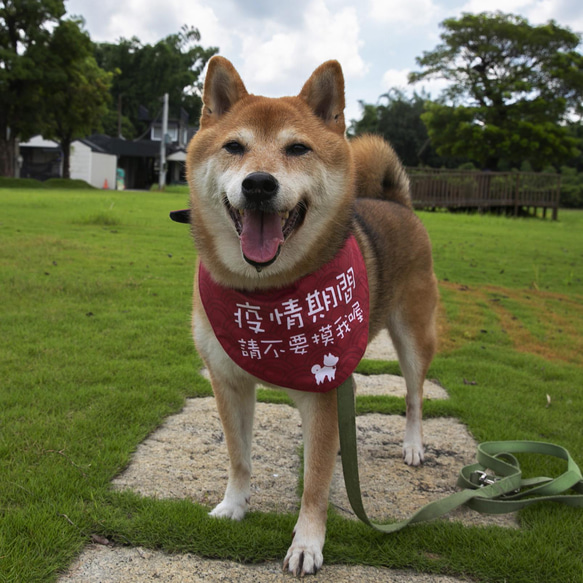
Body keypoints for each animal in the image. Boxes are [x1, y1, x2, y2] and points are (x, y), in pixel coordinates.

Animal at [184, 57, 438, 576]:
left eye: (297, 148)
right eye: (234, 146)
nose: (259, 183)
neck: (265, 294)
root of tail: (395, 202)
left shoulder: (325, 393)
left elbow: (316, 479)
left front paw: (307, 543)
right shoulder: (228, 381)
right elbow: (239, 456)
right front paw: (234, 506)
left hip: (412, 338)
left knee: (414, 396)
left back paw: (413, 445)